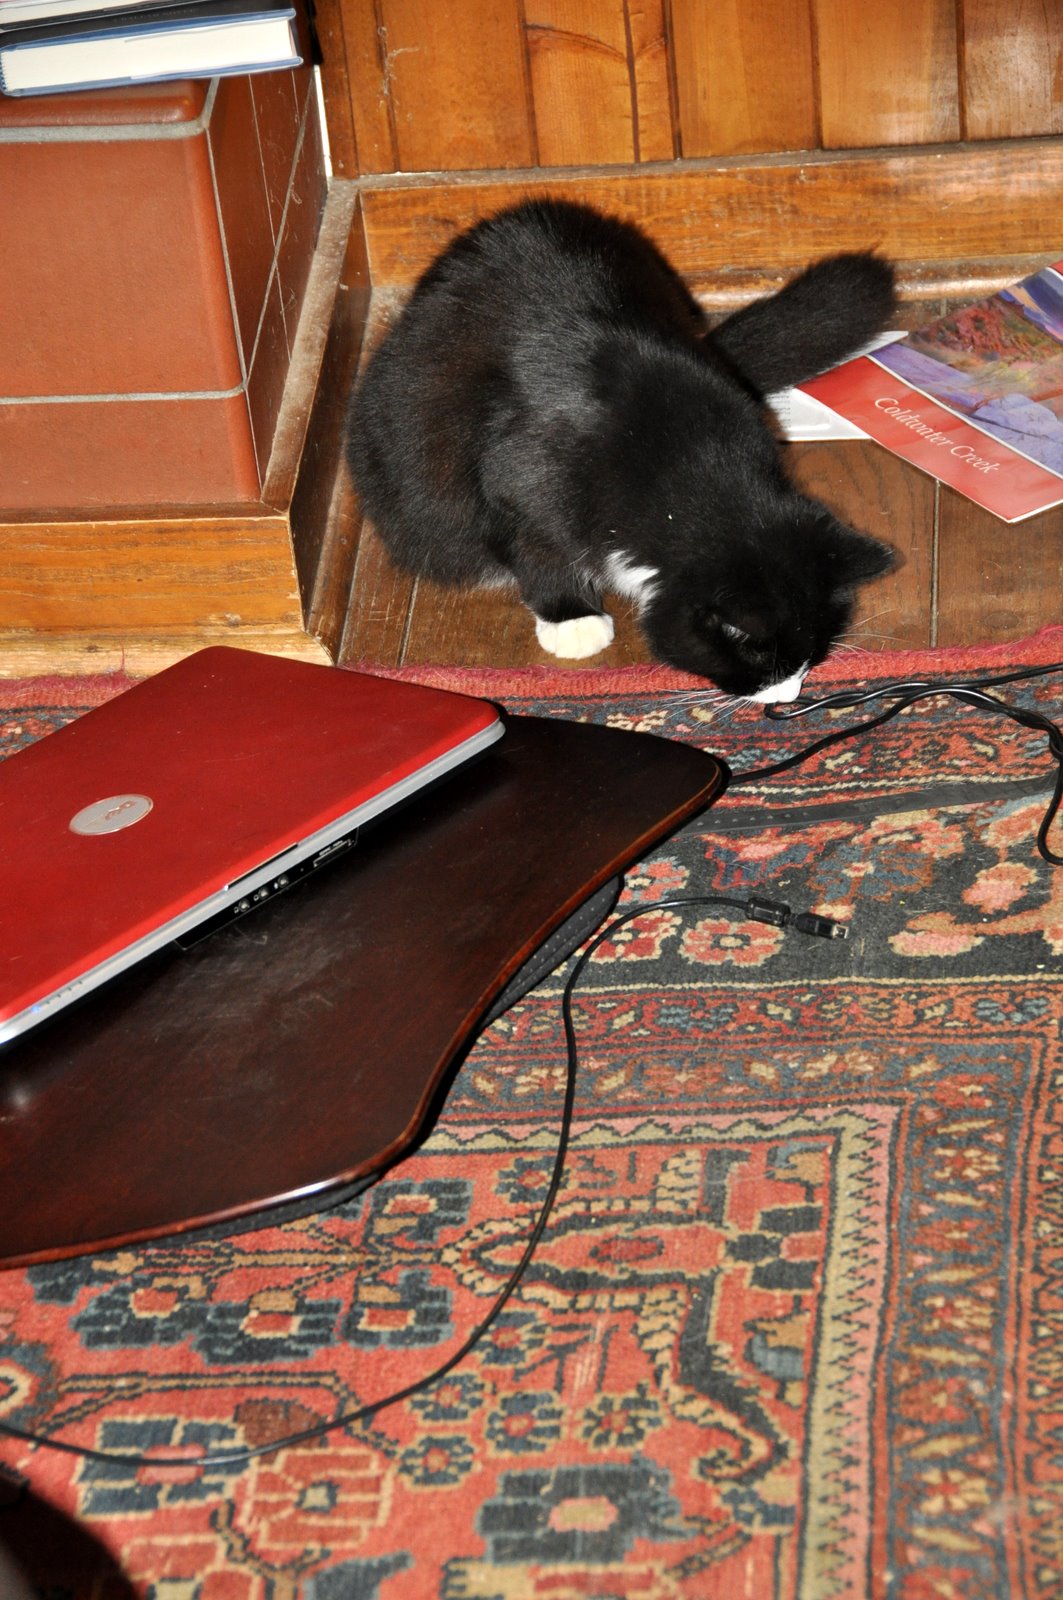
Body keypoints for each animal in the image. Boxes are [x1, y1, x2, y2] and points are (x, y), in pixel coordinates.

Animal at [345, 198, 897, 700]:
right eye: (761, 658)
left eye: (812, 657)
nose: (787, 696)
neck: (681, 456)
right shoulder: (519, 477)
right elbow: (538, 548)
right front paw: (571, 617)